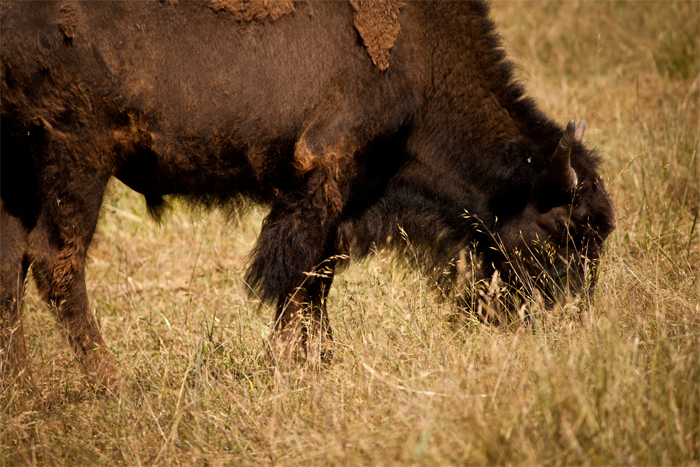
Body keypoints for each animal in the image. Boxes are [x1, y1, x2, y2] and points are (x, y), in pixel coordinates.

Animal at [0, 0, 612, 388]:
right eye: (561, 230)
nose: (570, 321)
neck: (424, 58)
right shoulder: (324, 173)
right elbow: (296, 275)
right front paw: (293, 364)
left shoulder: (347, 199)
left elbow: (319, 275)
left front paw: (316, 360)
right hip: (77, 160)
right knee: (56, 263)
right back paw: (114, 386)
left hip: (20, 175)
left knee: (11, 265)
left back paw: (24, 390)